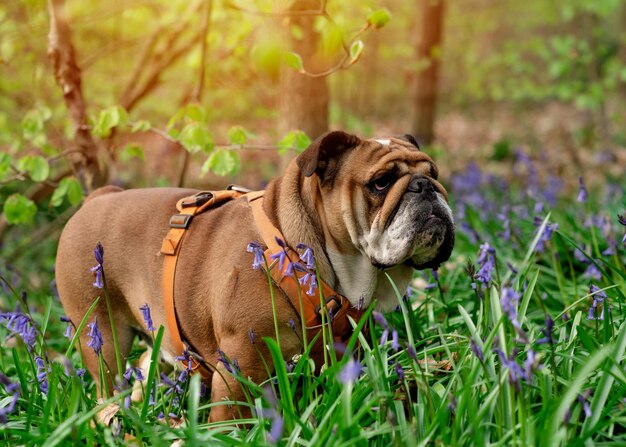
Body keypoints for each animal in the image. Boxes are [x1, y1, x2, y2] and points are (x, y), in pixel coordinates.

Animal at [54, 131, 454, 422]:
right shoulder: (242, 359)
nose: (425, 186)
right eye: (381, 183)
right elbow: (230, 415)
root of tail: (98, 197)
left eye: (434, 173)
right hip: (102, 333)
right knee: (108, 377)